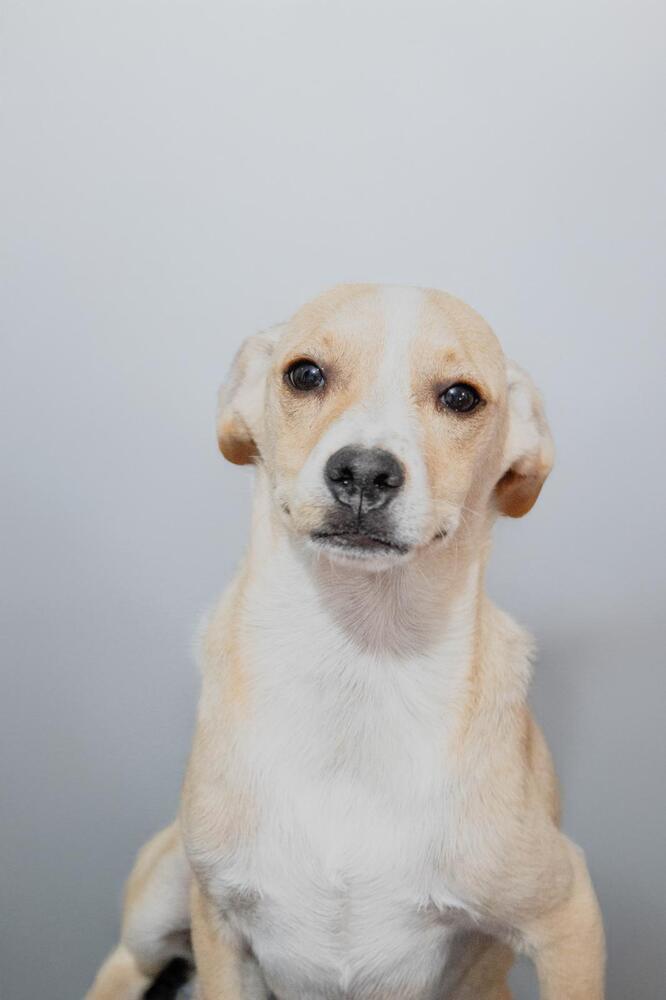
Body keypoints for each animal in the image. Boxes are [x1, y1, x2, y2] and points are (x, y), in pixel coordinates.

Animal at [85, 284, 604, 1000]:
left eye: (461, 396)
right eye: (305, 374)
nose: (363, 471)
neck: (357, 663)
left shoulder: (566, 914)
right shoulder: (220, 924)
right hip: (166, 889)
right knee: (126, 962)